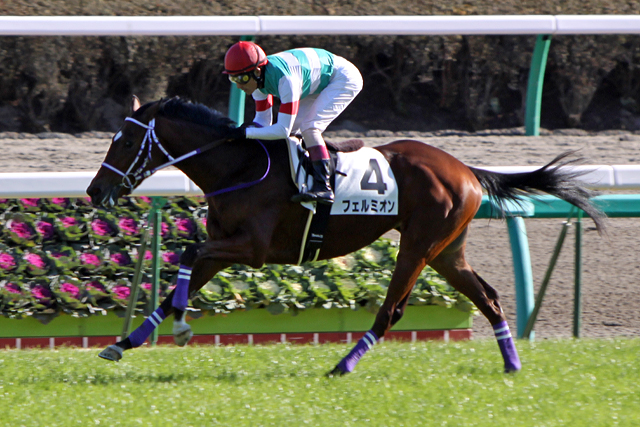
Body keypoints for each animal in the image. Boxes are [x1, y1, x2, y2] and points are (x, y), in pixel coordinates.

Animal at [87, 95, 605, 375]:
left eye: (126, 141)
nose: (94, 190)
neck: (239, 166)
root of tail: (466, 170)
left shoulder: (252, 250)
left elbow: (189, 250)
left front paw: (179, 327)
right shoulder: (225, 248)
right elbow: (185, 271)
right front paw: (125, 342)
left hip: (418, 246)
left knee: (392, 310)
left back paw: (343, 365)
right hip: (446, 251)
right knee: (490, 297)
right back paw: (511, 365)